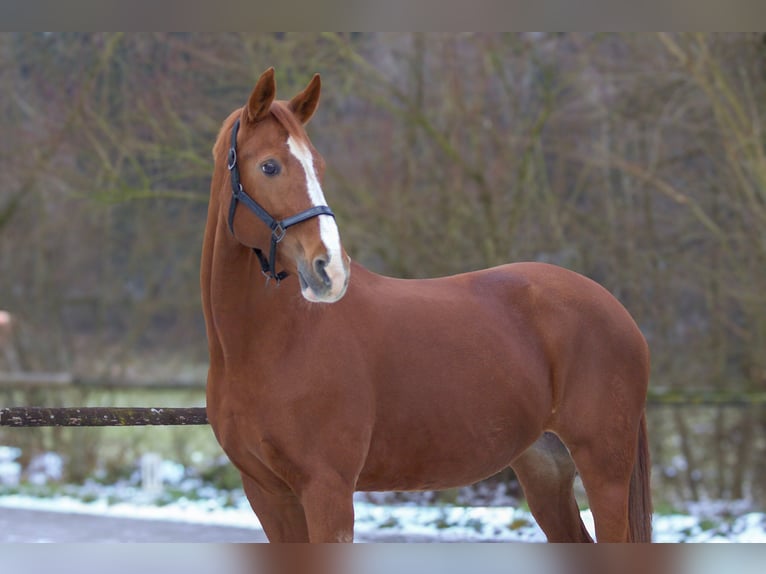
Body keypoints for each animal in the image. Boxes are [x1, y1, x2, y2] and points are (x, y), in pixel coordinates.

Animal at [201, 68, 652, 544]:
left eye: (317, 166)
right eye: (269, 166)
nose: (331, 269)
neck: (270, 344)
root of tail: (618, 312)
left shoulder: (327, 489)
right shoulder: (268, 494)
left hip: (605, 469)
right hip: (545, 467)